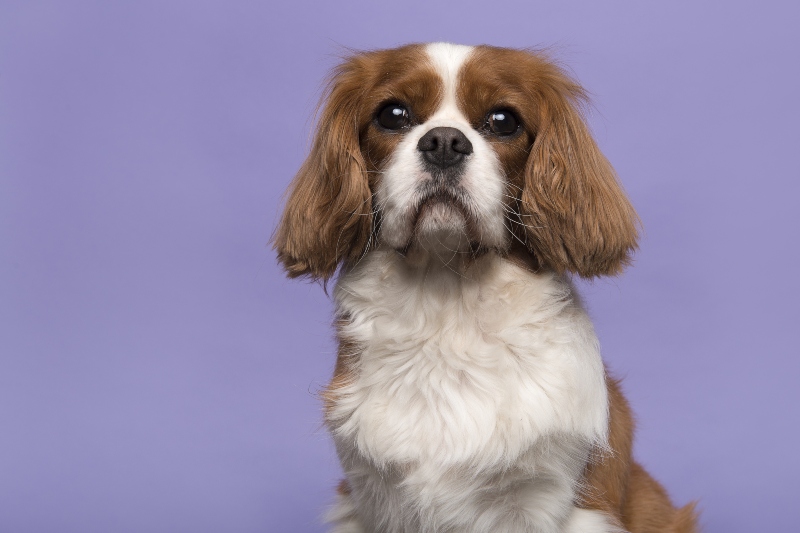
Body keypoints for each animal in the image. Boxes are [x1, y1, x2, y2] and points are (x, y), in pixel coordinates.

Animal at [274, 42, 692, 532]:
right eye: (392, 115)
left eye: (503, 120)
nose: (444, 143)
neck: (447, 298)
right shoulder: (373, 501)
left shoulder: (549, 502)